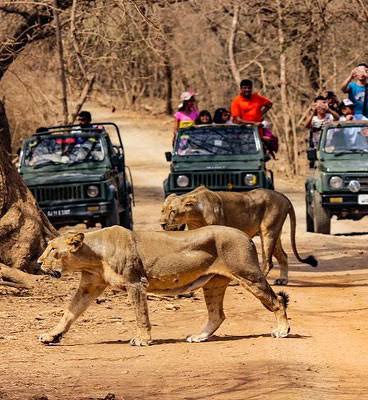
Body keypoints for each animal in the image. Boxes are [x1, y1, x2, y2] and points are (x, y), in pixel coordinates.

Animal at [38, 227, 290, 346]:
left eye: (53, 250)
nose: (39, 262)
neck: (92, 255)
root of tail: (246, 236)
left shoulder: (135, 282)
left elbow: (141, 314)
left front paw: (142, 339)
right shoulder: (89, 286)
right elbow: (69, 313)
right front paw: (51, 335)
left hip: (248, 274)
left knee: (277, 301)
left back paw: (282, 331)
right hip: (213, 284)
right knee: (217, 314)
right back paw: (199, 337)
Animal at [160, 187, 318, 284]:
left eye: (173, 211)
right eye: (162, 210)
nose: (162, 224)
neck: (195, 216)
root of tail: (283, 196)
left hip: (268, 231)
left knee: (268, 261)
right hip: (275, 233)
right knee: (283, 256)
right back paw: (282, 280)